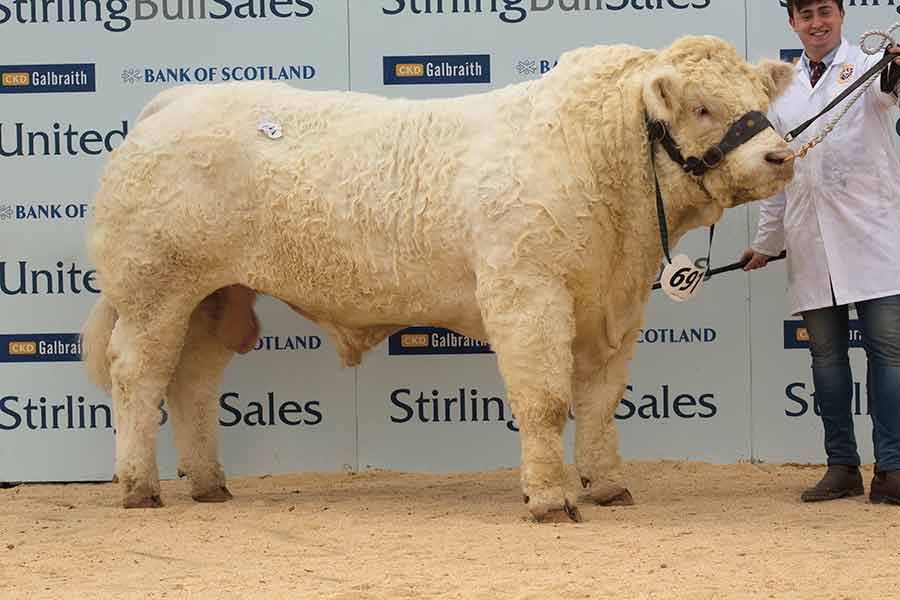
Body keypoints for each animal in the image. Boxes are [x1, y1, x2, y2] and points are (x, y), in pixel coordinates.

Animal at [81, 36, 792, 520]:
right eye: (702, 107)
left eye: (762, 102)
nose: (781, 156)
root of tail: (175, 100)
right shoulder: (526, 294)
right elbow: (545, 399)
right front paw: (549, 498)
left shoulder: (612, 310)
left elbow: (597, 402)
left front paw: (608, 484)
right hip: (154, 288)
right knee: (139, 375)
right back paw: (140, 487)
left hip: (213, 296)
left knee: (194, 384)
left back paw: (208, 484)